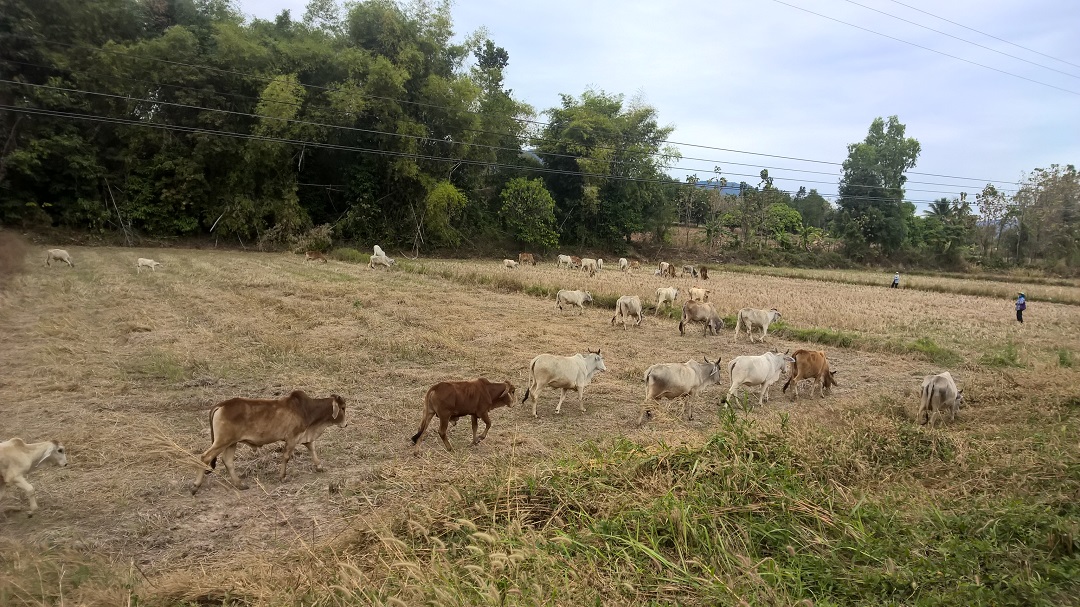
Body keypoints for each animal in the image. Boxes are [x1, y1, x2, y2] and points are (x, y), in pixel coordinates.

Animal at [191, 388, 345, 494]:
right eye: (343, 407)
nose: (346, 424)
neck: (307, 410)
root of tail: (221, 405)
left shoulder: (305, 436)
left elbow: (312, 449)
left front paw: (319, 467)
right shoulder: (292, 437)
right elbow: (286, 457)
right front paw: (282, 477)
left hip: (231, 442)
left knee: (227, 461)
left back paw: (240, 484)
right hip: (222, 441)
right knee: (205, 457)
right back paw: (195, 486)